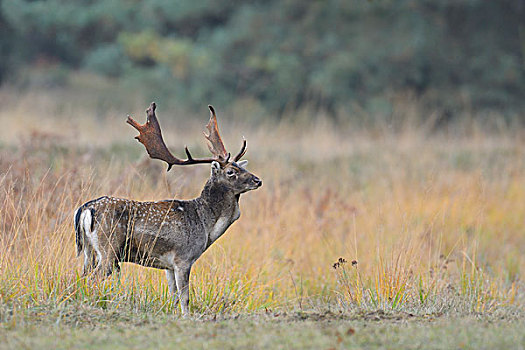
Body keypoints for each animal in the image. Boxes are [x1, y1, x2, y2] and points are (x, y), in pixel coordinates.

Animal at [72, 102, 260, 316]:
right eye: (230, 172)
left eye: (242, 167)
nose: (257, 180)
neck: (206, 225)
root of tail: (85, 209)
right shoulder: (183, 258)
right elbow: (185, 298)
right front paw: (187, 317)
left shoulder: (168, 266)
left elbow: (173, 297)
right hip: (108, 249)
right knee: (92, 279)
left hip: (88, 250)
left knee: (82, 276)